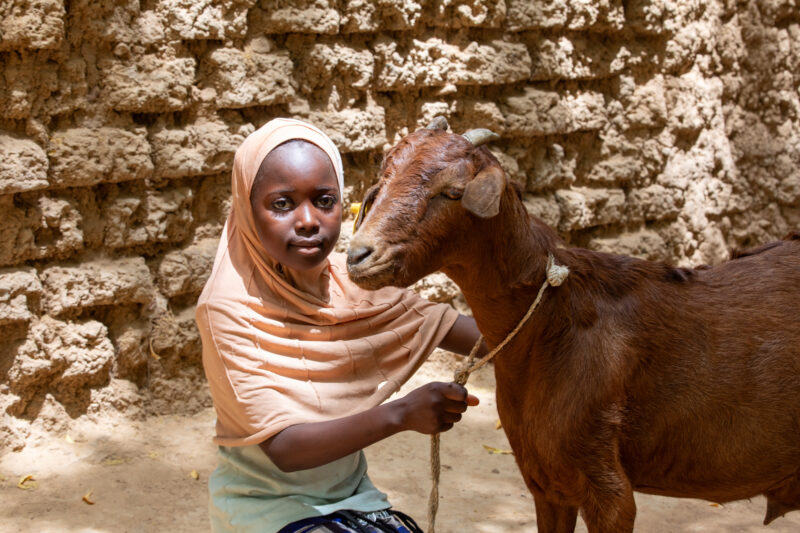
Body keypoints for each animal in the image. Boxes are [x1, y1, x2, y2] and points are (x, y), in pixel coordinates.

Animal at [346, 118, 800, 532]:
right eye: (382, 182)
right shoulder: (545, 482)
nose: (358, 255)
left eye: (452, 192)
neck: (550, 323)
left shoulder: (608, 490)